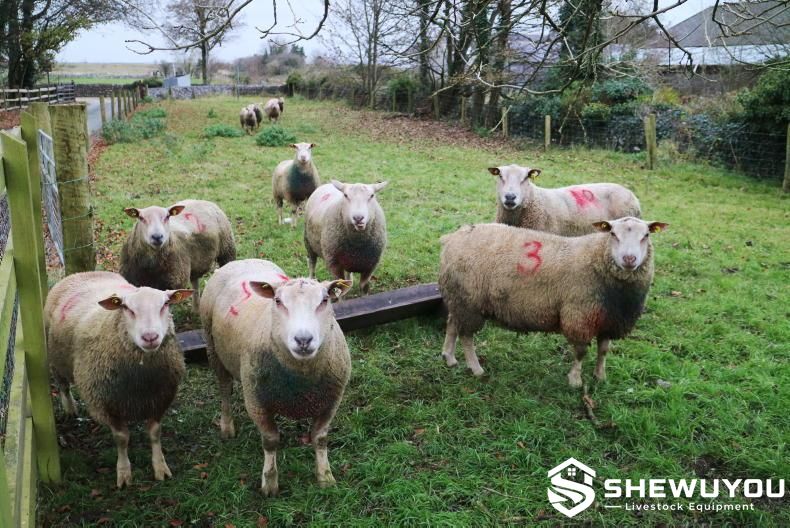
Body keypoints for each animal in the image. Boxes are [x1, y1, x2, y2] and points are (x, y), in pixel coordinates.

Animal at [45, 271, 192, 488]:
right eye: (126, 308)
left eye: (165, 304)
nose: (150, 337)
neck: (141, 381)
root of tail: (82, 273)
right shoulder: (108, 404)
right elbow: (122, 439)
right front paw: (123, 473)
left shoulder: (159, 399)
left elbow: (155, 433)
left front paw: (160, 467)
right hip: (56, 359)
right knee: (63, 385)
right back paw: (70, 408)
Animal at [200, 259, 352, 496]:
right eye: (278, 301)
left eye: (325, 300)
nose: (303, 340)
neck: (302, 374)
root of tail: (242, 260)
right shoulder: (256, 402)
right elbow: (270, 441)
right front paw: (269, 483)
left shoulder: (331, 401)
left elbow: (320, 438)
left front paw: (325, 477)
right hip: (213, 348)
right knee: (224, 389)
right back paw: (227, 427)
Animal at [439, 217, 668, 387]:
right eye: (612, 233)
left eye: (646, 235)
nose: (629, 259)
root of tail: (452, 237)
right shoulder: (580, 317)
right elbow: (581, 351)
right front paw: (575, 380)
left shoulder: (608, 319)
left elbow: (603, 350)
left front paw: (600, 377)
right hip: (469, 302)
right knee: (466, 336)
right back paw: (476, 369)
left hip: (458, 297)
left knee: (452, 324)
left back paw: (449, 358)